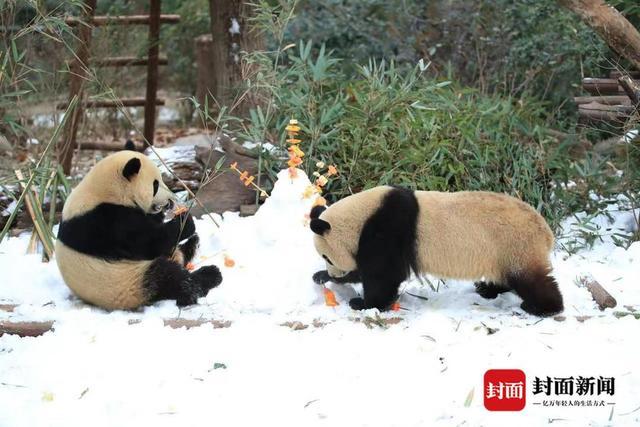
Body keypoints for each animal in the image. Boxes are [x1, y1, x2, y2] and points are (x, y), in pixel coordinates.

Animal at [55, 151, 225, 310]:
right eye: (155, 185)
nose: (170, 200)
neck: (104, 192)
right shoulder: (107, 222)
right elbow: (148, 243)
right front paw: (185, 220)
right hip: (128, 282)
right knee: (168, 278)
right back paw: (209, 275)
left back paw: (192, 245)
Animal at [310, 187, 564, 318]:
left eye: (326, 256)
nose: (335, 273)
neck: (361, 216)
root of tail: (546, 231)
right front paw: (321, 277)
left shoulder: (388, 228)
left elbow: (383, 273)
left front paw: (363, 303)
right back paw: (487, 289)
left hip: (514, 245)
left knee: (531, 280)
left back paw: (544, 307)